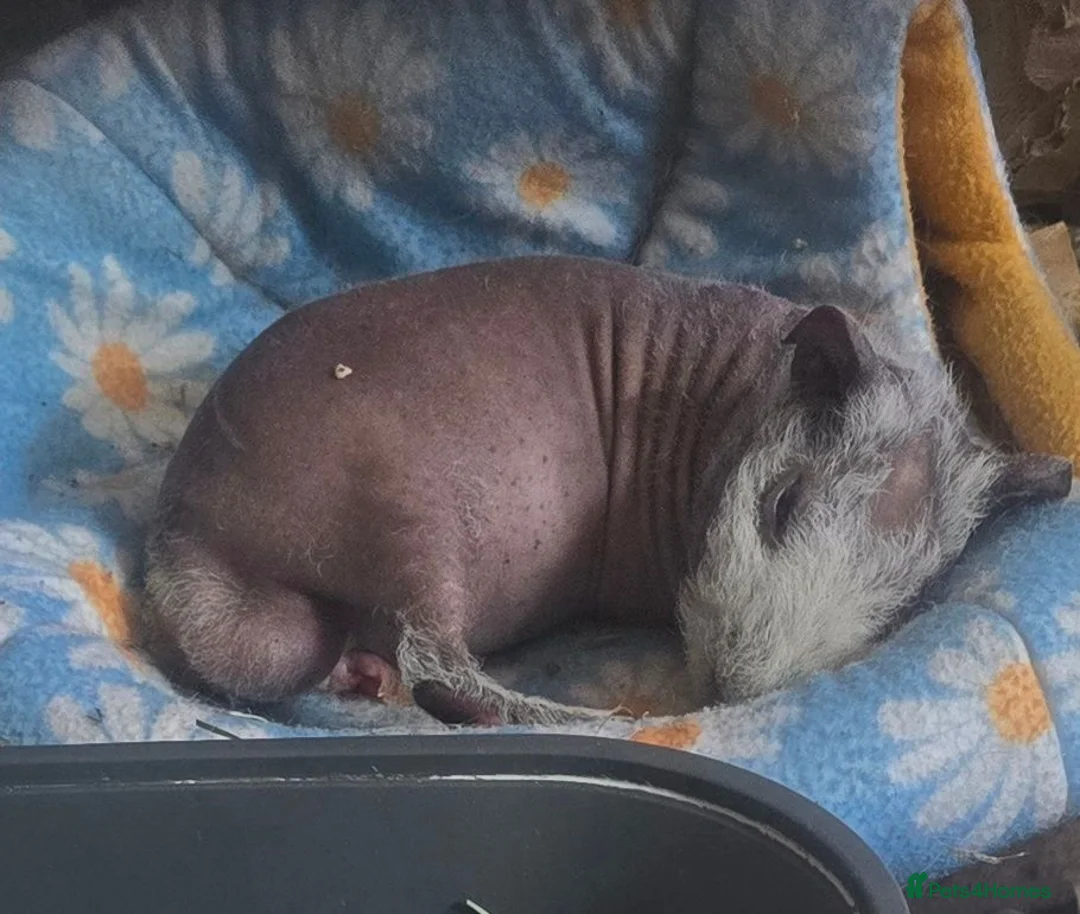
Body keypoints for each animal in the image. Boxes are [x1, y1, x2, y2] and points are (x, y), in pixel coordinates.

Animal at [136, 255, 1072, 725]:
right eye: (781, 507)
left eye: (892, 608)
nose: (731, 691)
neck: (730, 395)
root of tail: (190, 530)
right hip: (404, 515)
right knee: (438, 669)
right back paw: (598, 721)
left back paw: (359, 675)